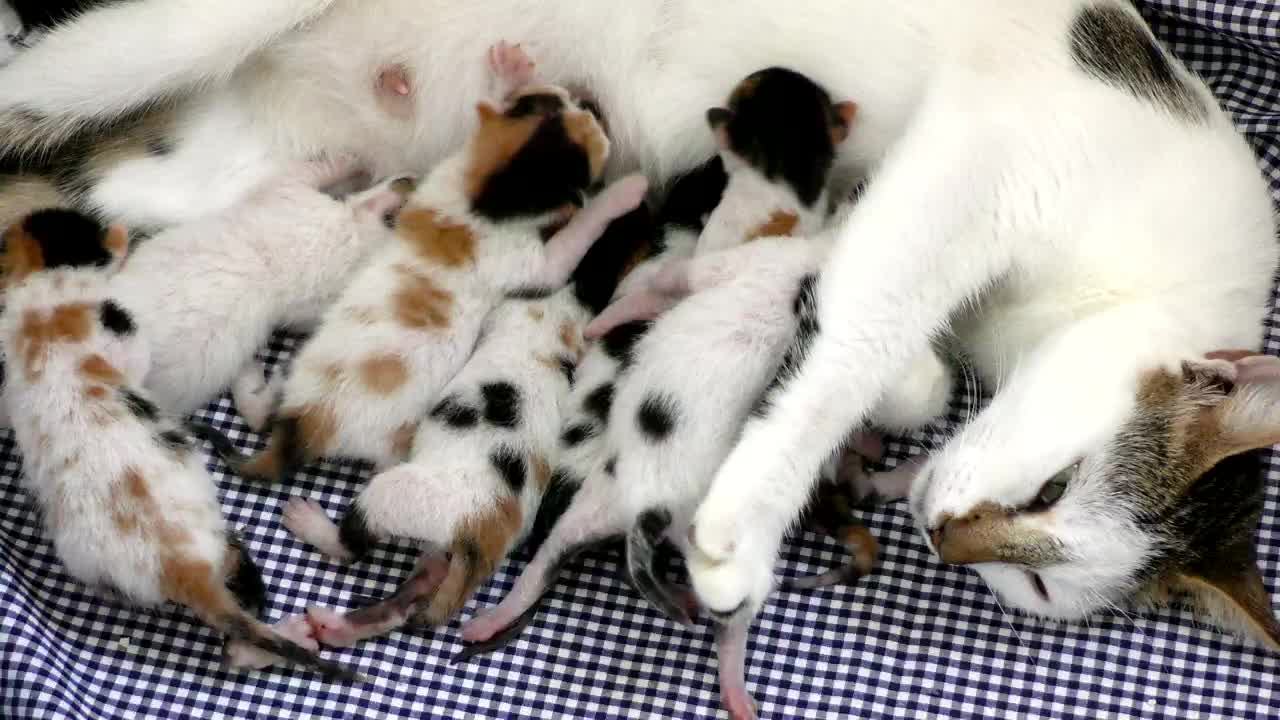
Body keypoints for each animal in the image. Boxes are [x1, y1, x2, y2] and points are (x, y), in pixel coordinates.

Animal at [0, 207, 358, 676]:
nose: (119, 229)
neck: (45, 306)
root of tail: (181, 570)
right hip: (224, 542)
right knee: (240, 630)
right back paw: (293, 634)